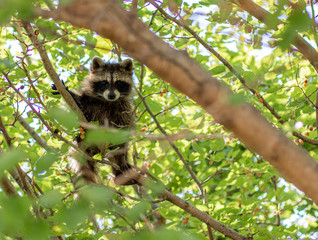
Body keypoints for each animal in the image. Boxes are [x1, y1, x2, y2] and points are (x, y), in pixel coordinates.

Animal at [52, 56, 137, 186]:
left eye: (118, 83)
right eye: (104, 83)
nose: (111, 95)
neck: (107, 101)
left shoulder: (124, 110)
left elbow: (123, 130)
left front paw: (121, 156)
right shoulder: (89, 102)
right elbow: (77, 104)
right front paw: (68, 91)